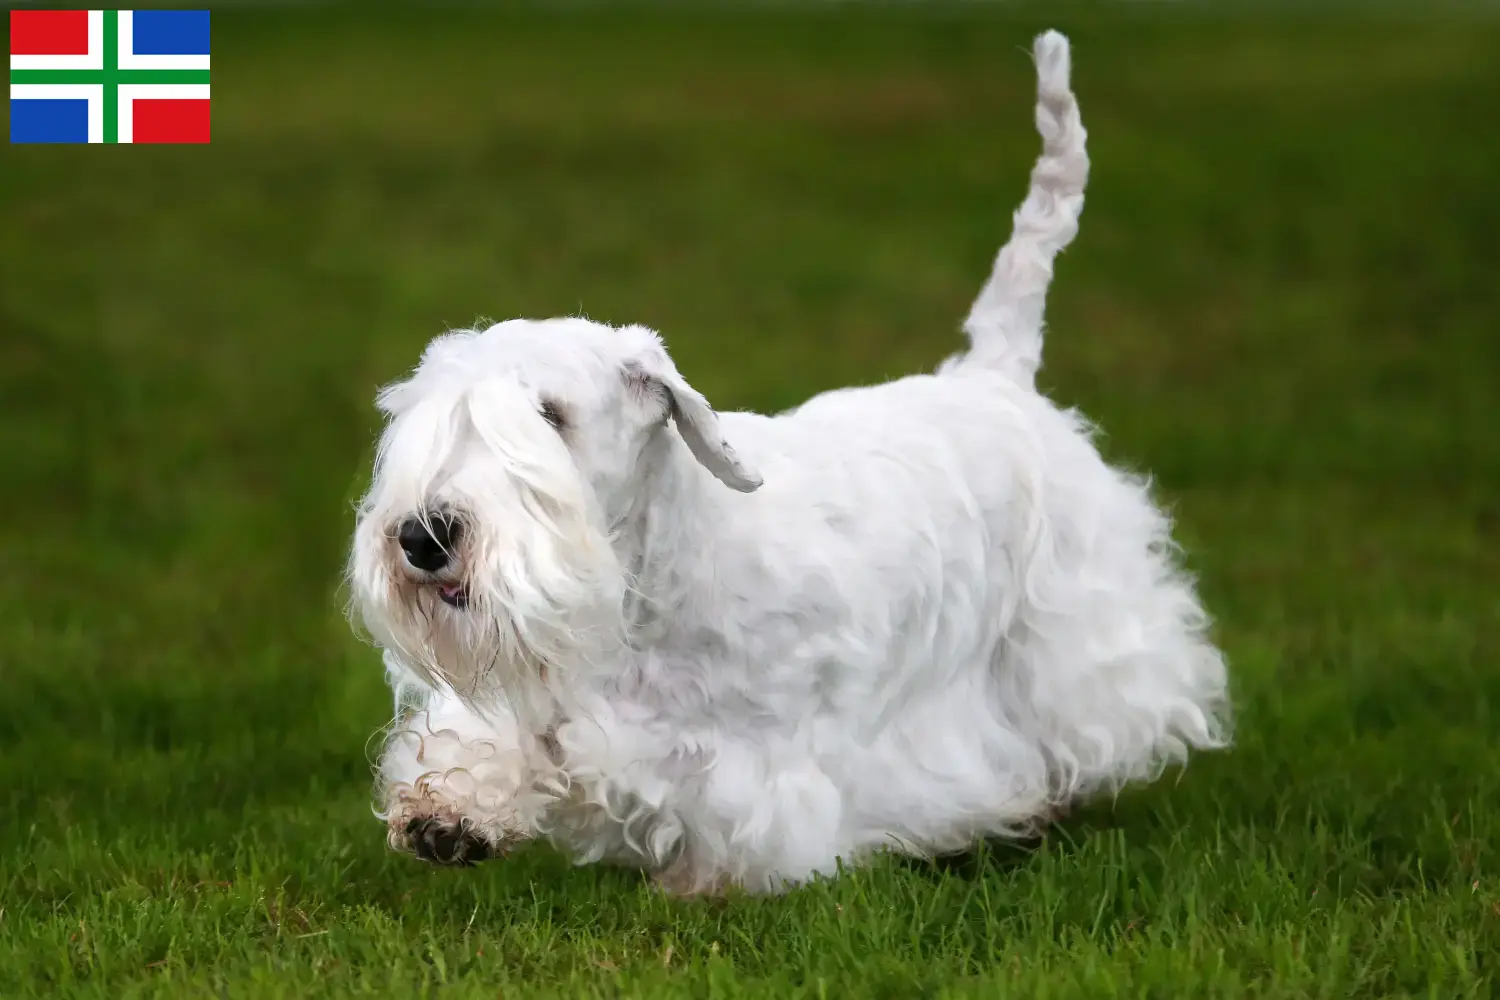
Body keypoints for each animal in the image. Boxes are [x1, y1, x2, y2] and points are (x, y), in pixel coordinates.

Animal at [348, 31, 1230, 893]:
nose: (423, 538)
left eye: (550, 415)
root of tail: (994, 373)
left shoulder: (752, 770)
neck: (642, 593)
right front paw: (448, 817)